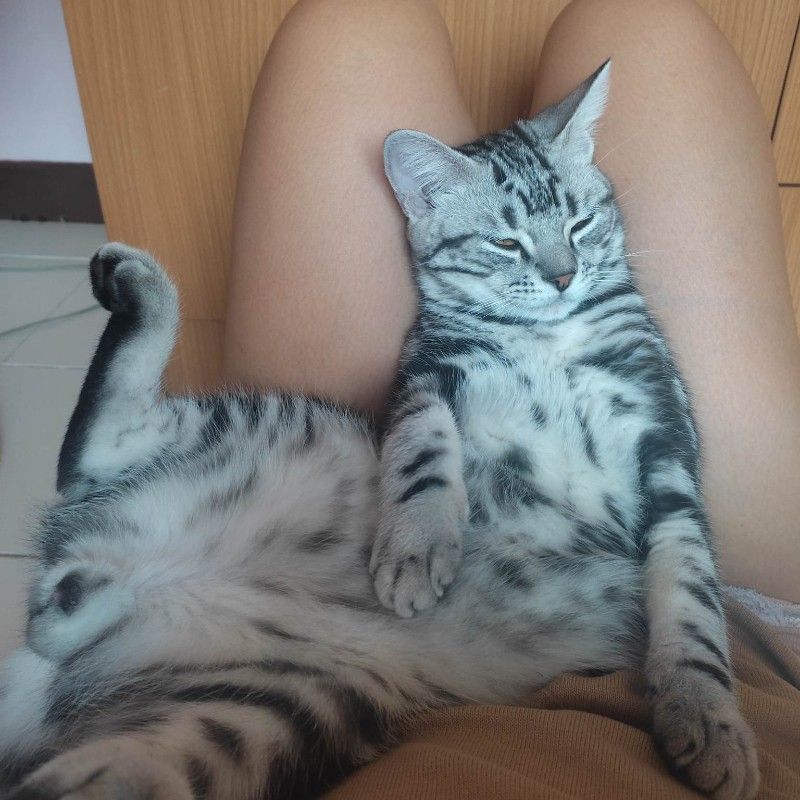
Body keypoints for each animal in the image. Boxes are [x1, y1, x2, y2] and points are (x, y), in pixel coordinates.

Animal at [0, 62, 758, 800]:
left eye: (580, 223)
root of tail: (130, 573)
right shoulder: (423, 375)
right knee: (95, 445)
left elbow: (691, 591)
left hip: (275, 706)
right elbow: (423, 451)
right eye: (506, 242)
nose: (565, 275)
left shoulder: (667, 440)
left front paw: (706, 715)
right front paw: (417, 546)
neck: (550, 338)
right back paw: (139, 284)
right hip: (279, 426)